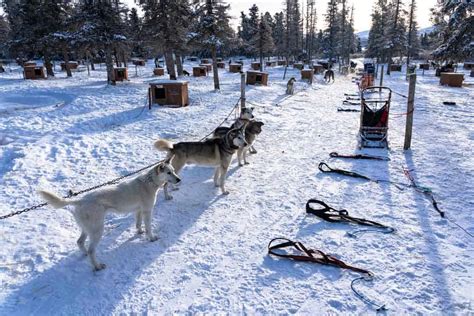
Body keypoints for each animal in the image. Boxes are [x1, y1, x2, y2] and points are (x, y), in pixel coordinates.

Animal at [37, 162, 180, 270]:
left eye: (173, 171)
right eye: (168, 173)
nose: (179, 179)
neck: (149, 182)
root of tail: (80, 200)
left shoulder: (138, 211)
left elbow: (138, 224)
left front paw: (139, 232)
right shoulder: (147, 211)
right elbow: (149, 228)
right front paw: (151, 238)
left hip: (88, 229)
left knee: (80, 242)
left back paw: (85, 255)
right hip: (97, 230)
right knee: (91, 250)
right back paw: (97, 266)